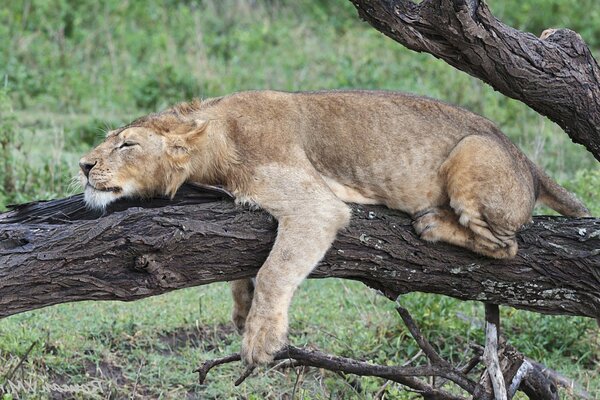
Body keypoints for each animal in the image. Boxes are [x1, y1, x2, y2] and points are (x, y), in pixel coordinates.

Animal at [77, 90, 588, 366]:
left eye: (126, 144)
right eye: (107, 141)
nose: (83, 165)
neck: (214, 142)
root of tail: (527, 161)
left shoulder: (316, 205)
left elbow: (274, 271)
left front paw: (260, 339)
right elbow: (243, 268)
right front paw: (242, 309)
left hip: (472, 153)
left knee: (506, 246)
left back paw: (431, 224)